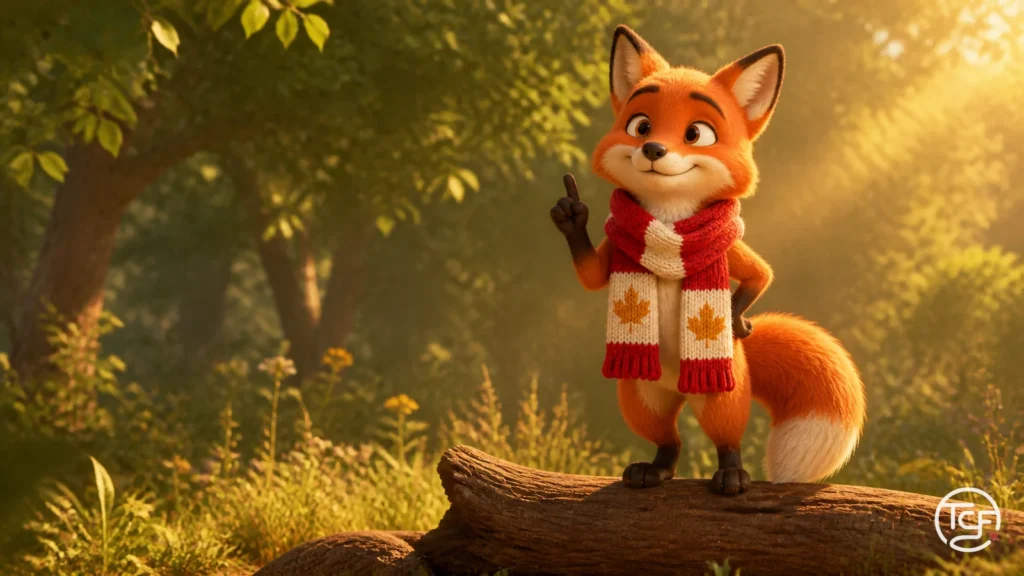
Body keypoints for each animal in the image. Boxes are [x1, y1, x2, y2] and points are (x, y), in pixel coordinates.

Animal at [550, 25, 865, 495]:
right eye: (640, 125)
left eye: (696, 133)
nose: (653, 148)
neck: (668, 229)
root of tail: (676, 385)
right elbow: (590, 276)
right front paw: (571, 215)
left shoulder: (728, 250)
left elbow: (761, 275)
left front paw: (735, 321)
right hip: (640, 397)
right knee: (670, 442)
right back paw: (654, 470)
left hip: (720, 395)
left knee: (726, 439)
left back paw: (732, 474)